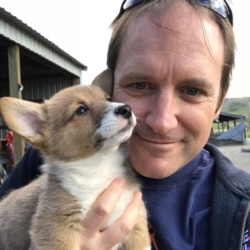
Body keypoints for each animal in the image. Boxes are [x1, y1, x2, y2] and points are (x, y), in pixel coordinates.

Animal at [0, 83, 150, 249]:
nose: (126, 109)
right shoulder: (57, 227)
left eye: (108, 98)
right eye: (81, 110)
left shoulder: (136, 221)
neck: (100, 166)